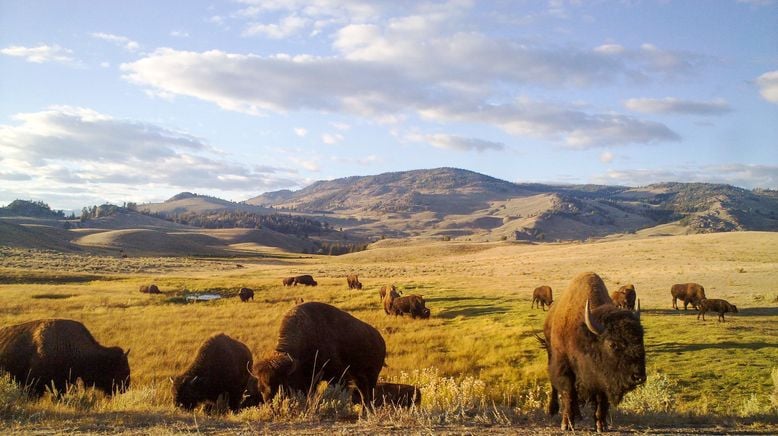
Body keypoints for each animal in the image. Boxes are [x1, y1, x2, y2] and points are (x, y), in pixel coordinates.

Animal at [252, 302, 384, 404]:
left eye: (279, 383)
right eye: (260, 387)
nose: (269, 402)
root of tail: (380, 338)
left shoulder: (337, 376)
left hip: (372, 375)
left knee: (369, 393)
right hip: (359, 377)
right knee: (364, 394)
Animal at [540, 274, 644, 430]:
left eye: (641, 339)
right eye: (612, 344)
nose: (638, 377)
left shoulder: (601, 376)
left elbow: (601, 399)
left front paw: (601, 425)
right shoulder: (564, 367)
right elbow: (568, 394)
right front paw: (566, 424)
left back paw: (578, 415)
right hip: (550, 353)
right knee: (555, 386)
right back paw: (553, 410)